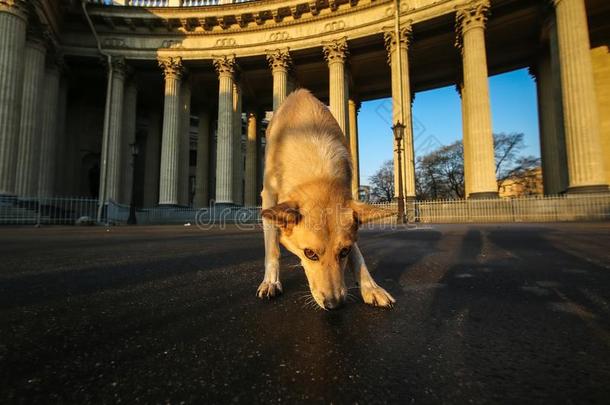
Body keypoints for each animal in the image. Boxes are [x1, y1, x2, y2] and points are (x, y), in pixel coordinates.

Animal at [255, 89, 394, 310]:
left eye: (344, 251)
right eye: (309, 253)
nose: (334, 304)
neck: (317, 172)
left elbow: (358, 255)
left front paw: (370, 287)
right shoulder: (268, 197)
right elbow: (272, 247)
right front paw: (271, 281)